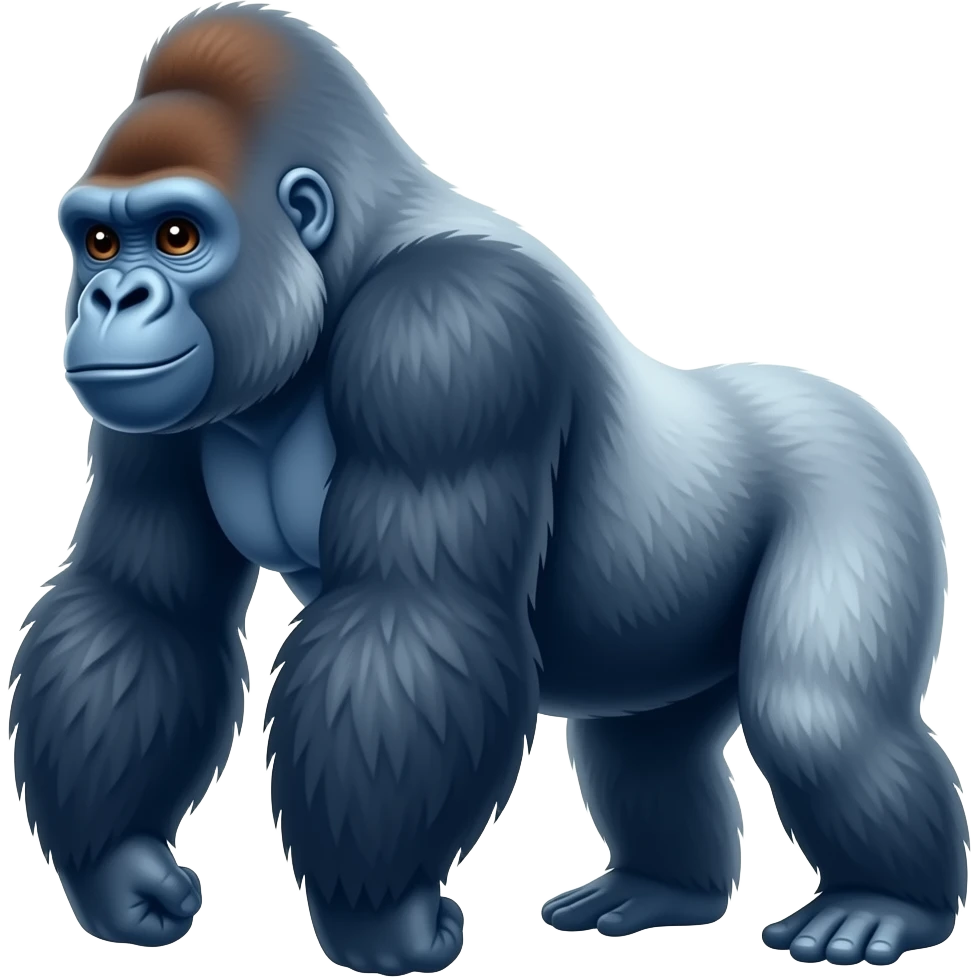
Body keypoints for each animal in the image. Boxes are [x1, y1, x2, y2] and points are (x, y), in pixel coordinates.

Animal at [11, 3, 964, 973]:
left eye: (178, 236)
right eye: (97, 242)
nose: (112, 299)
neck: (345, 259)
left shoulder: (448, 329)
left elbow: (410, 613)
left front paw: (380, 919)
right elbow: (140, 604)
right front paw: (118, 870)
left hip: (862, 479)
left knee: (818, 717)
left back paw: (888, 903)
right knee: (646, 747)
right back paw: (663, 887)